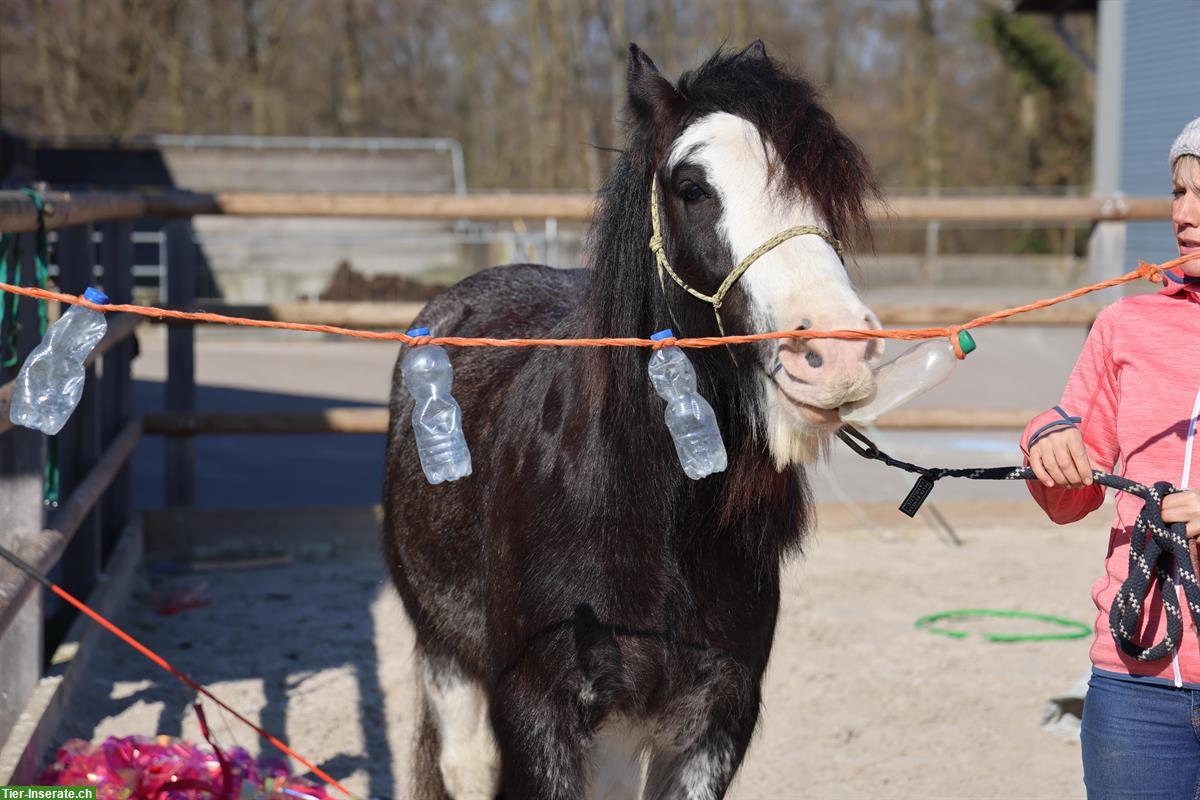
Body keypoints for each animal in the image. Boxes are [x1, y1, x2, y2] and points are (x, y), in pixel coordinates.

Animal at [384, 45, 883, 800]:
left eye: (831, 188)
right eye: (691, 187)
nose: (840, 356)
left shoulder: (712, 723)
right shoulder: (539, 715)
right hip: (449, 659)